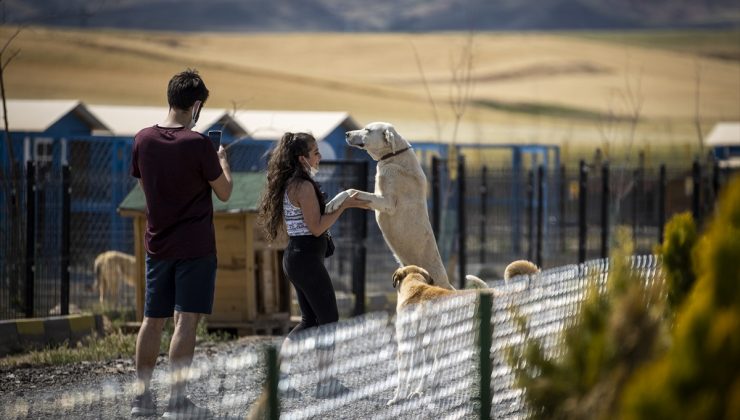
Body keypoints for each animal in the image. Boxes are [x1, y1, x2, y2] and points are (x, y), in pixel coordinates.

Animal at [326, 122, 454, 288]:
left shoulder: (386, 203)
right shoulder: (374, 201)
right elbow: (356, 193)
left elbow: (352, 190)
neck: (394, 157)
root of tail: (448, 284)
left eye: (368, 130)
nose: (347, 134)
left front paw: (334, 203)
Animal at [390, 262, 540, 404]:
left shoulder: (405, 347)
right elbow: (422, 373)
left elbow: (402, 377)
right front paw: (418, 392)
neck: (415, 286)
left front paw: (397, 398)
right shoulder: (424, 347)